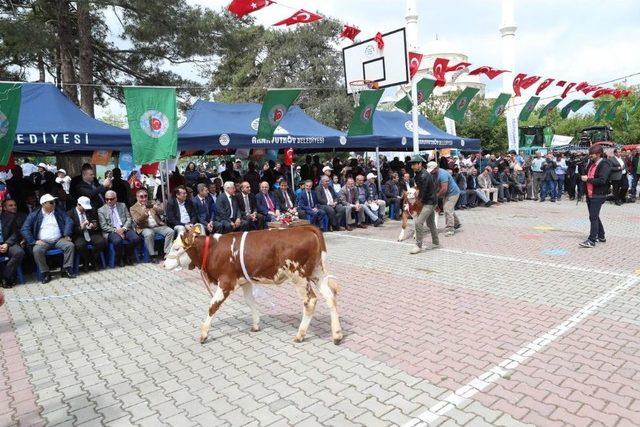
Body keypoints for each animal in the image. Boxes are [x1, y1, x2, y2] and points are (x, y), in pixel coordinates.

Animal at [165, 226, 344, 346]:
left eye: (176, 247)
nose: (164, 263)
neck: (213, 249)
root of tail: (306, 228)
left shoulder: (226, 282)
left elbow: (212, 306)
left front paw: (203, 334)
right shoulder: (245, 281)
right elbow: (250, 302)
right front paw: (256, 325)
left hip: (298, 276)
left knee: (310, 301)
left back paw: (300, 335)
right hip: (316, 273)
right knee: (330, 297)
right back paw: (337, 335)